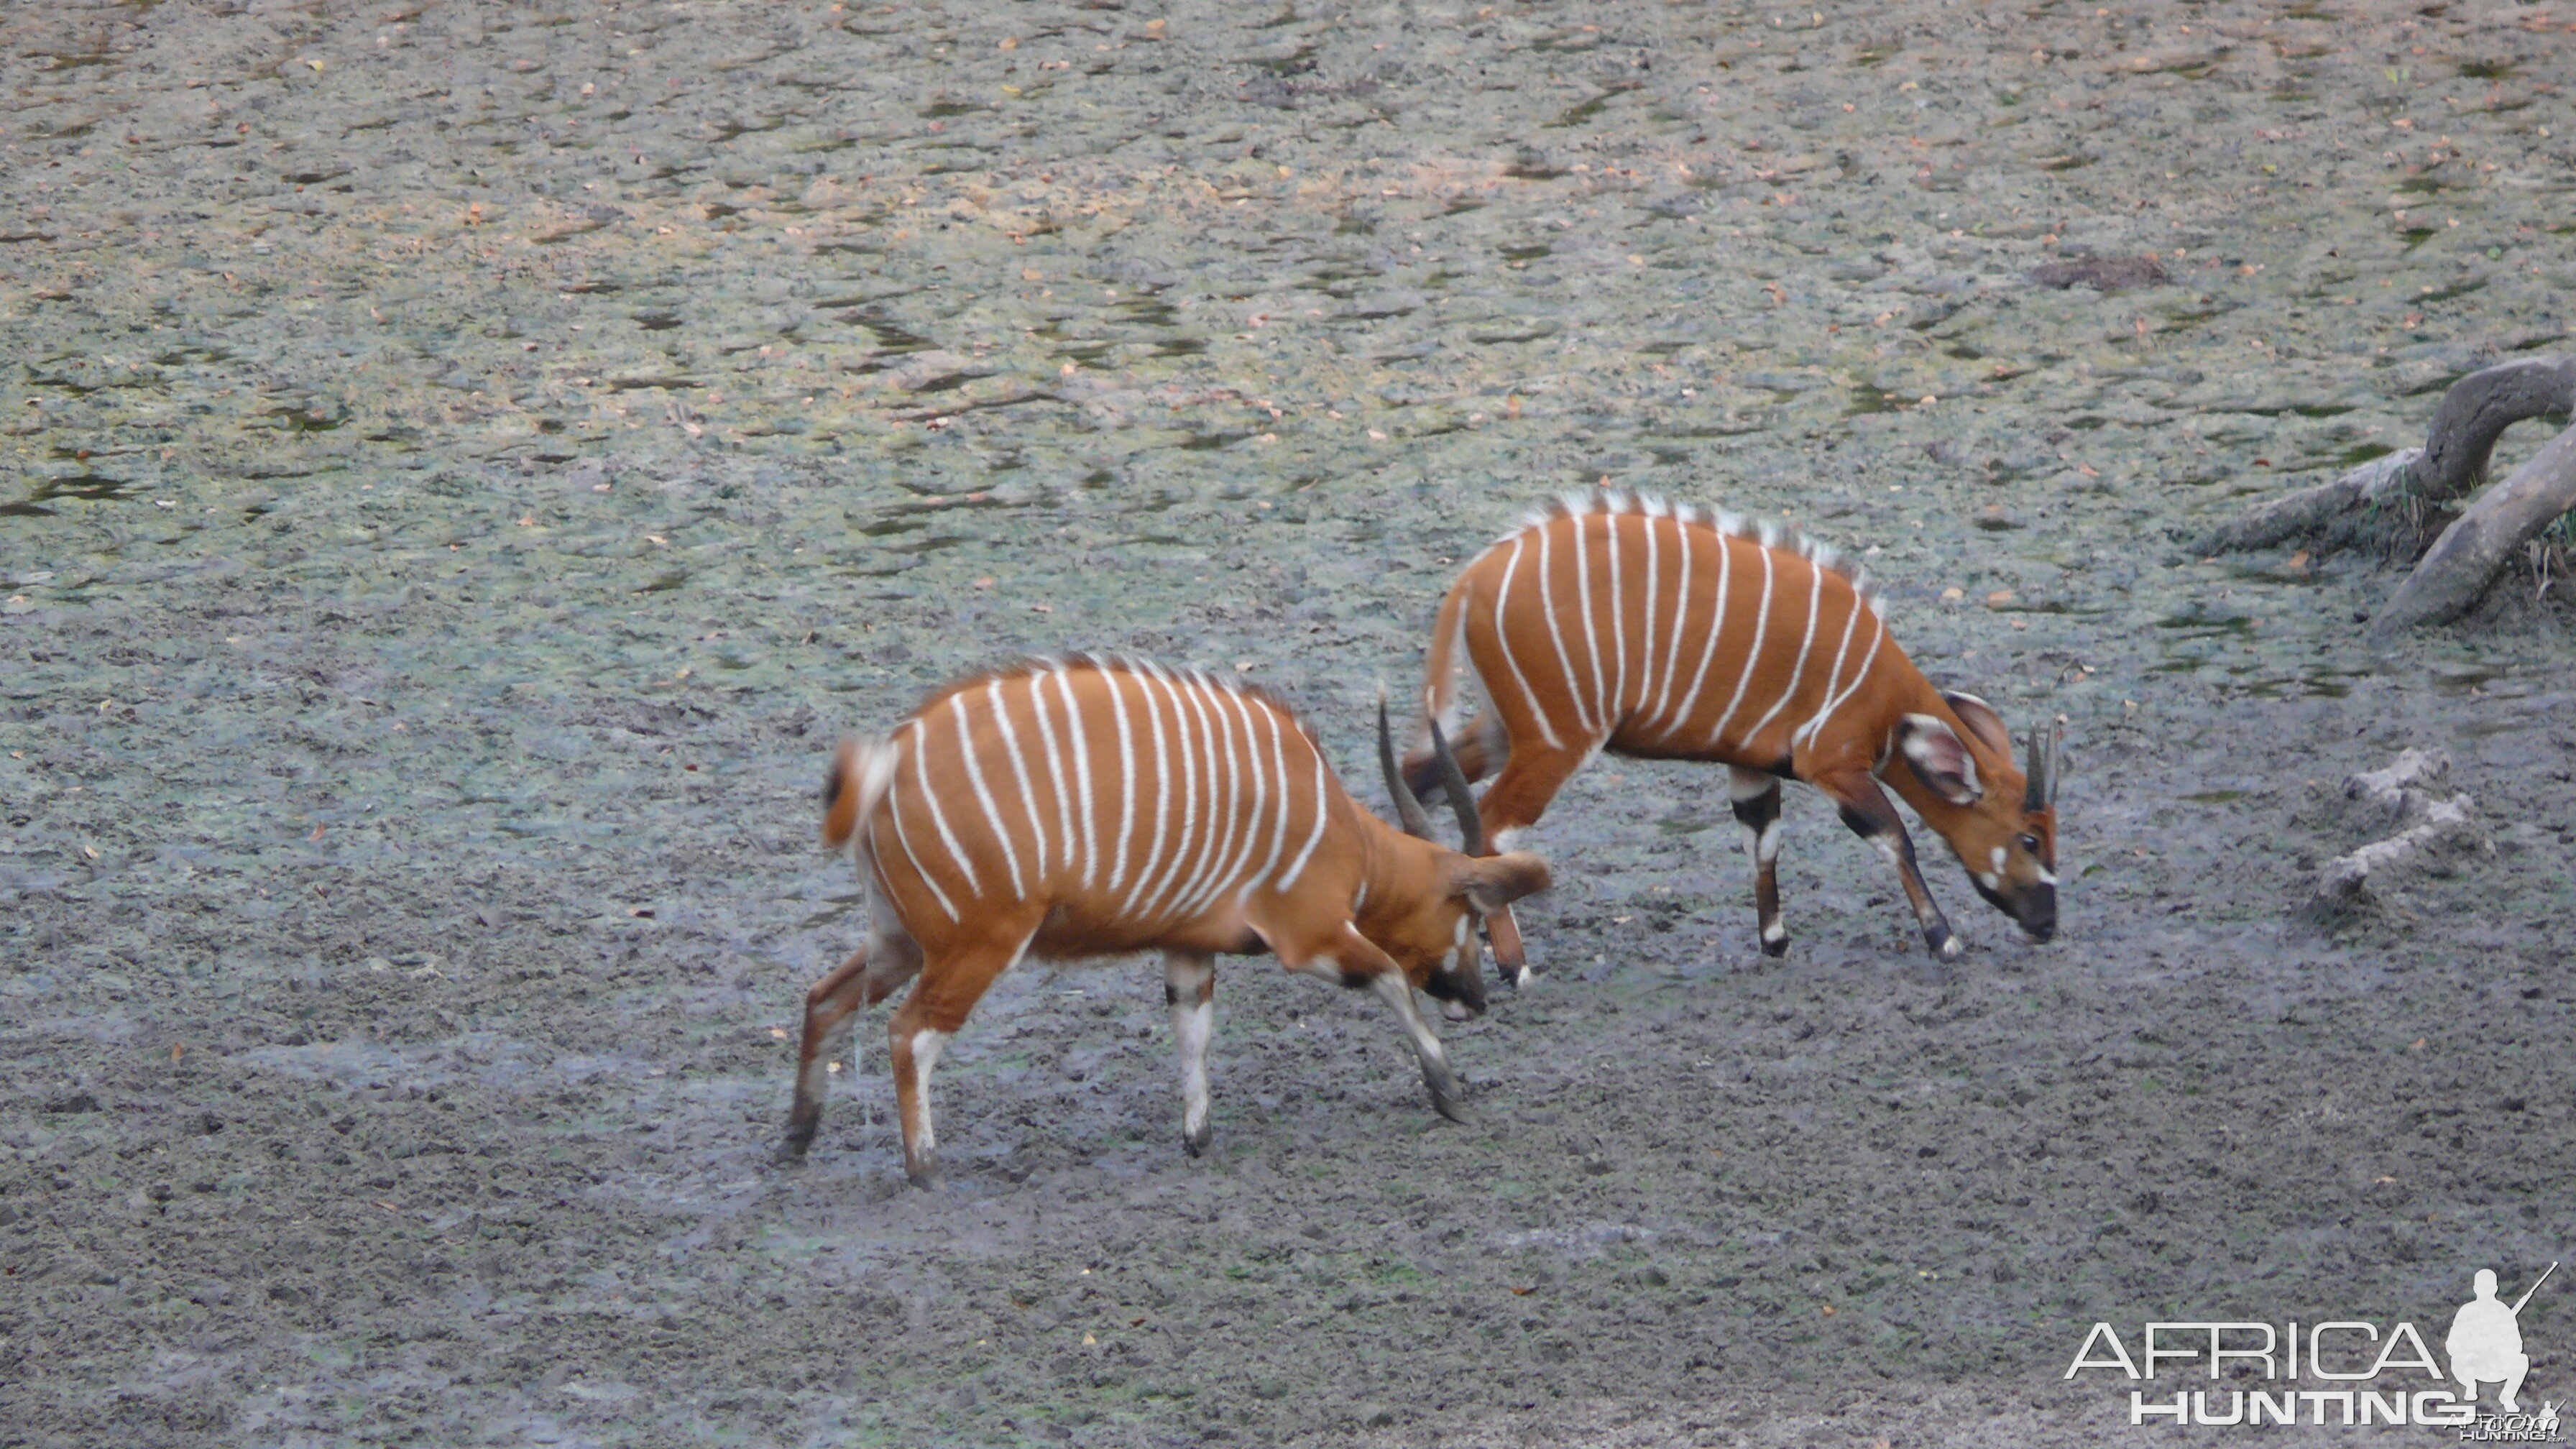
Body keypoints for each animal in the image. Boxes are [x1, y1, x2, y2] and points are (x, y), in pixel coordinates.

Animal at [778, 655, 1545, 1186]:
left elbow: (1192, 1030)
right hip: (977, 944)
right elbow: (1390, 977)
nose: (1477, 999)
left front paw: (1197, 1137)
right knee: (909, 1035)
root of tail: (882, 775)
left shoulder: (1189, 948)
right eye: (1473, 922)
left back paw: (795, 1141)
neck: (1336, 826)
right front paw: (1448, 1091)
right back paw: (924, 1170)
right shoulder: (1310, 933)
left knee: (825, 1000)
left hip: (901, 940)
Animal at [1401, 492, 2061, 959]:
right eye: (2029, 838)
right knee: (1489, 823)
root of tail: (1472, 580)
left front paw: (1775, 941)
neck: (1881, 685)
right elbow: (1894, 835)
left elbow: (1762, 840)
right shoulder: (1834, 762)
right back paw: (1513, 965)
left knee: (1420, 778)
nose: (2048, 925)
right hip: (1555, 740)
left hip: (1505, 730)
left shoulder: (1750, 766)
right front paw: (1943, 938)